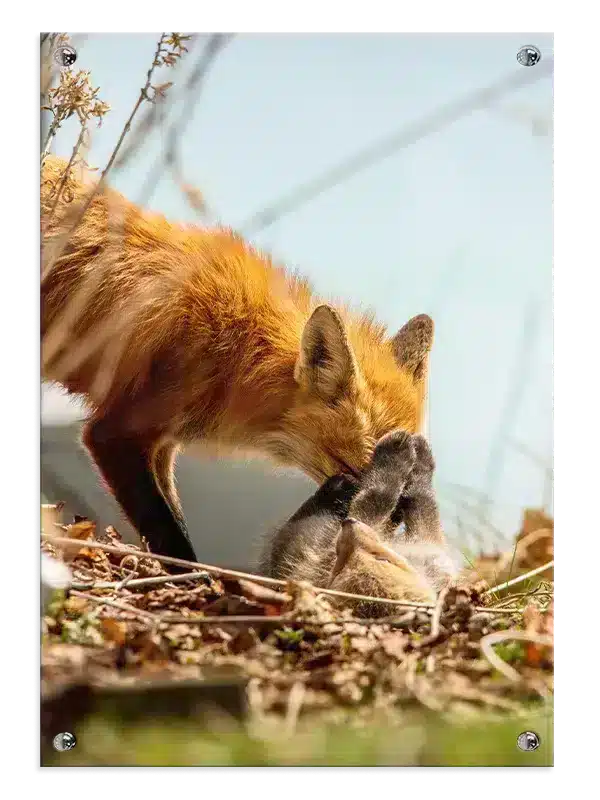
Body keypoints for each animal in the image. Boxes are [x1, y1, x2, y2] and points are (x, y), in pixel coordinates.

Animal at [41, 155, 434, 563]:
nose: (385, 534)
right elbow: (172, 536)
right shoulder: (116, 434)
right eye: (351, 469)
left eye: (409, 482)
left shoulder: (164, 444)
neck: (239, 353)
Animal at [258, 431, 460, 616]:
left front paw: (405, 453)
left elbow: (393, 495)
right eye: (383, 559)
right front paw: (408, 452)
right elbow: (407, 497)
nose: (350, 523)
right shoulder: (431, 548)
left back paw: (340, 486)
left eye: (339, 569)